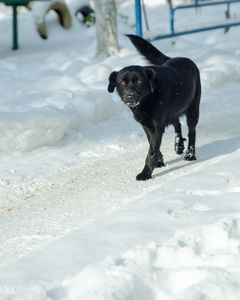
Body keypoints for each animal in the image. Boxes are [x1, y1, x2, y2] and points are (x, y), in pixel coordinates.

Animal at [107, 35, 201, 180]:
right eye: (122, 82)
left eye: (139, 81)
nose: (130, 97)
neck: (147, 100)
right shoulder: (147, 126)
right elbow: (152, 145)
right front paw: (159, 161)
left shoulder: (157, 127)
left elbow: (151, 152)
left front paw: (145, 173)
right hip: (173, 111)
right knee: (177, 123)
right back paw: (178, 145)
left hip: (193, 110)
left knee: (192, 132)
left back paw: (190, 154)